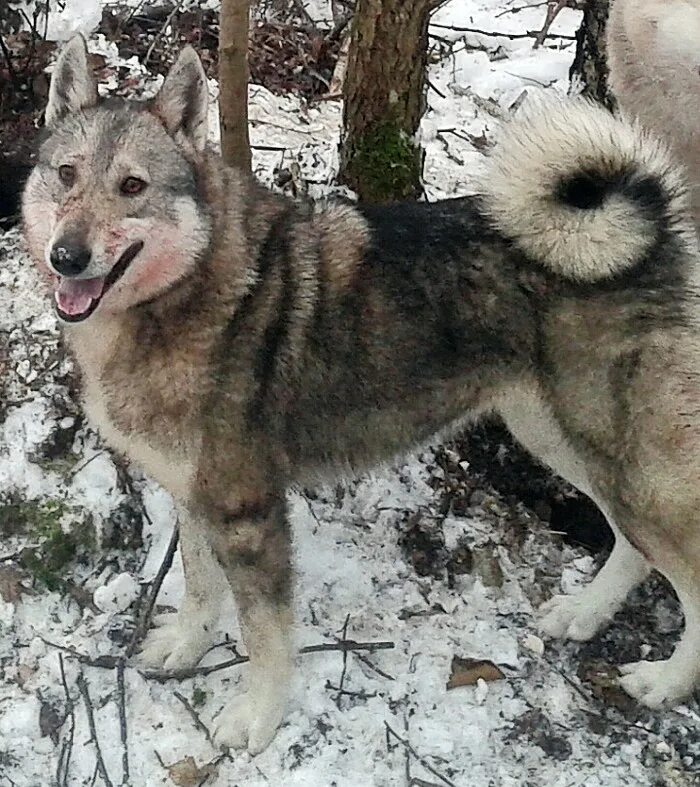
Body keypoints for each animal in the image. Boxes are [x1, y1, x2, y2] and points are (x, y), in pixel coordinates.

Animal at [23, 38, 700, 756]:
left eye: (132, 186)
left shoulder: (247, 512)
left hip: (625, 460)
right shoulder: (193, 492)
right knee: (631, 546)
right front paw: (186, 646)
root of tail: (653, 232)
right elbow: (201, 588)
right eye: (65, 175)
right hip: (560, 437)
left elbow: (265, 633)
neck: (184, 294)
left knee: (684, 569)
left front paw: (256, 717)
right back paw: (584, 612)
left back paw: (666, 680)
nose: (66, 256)